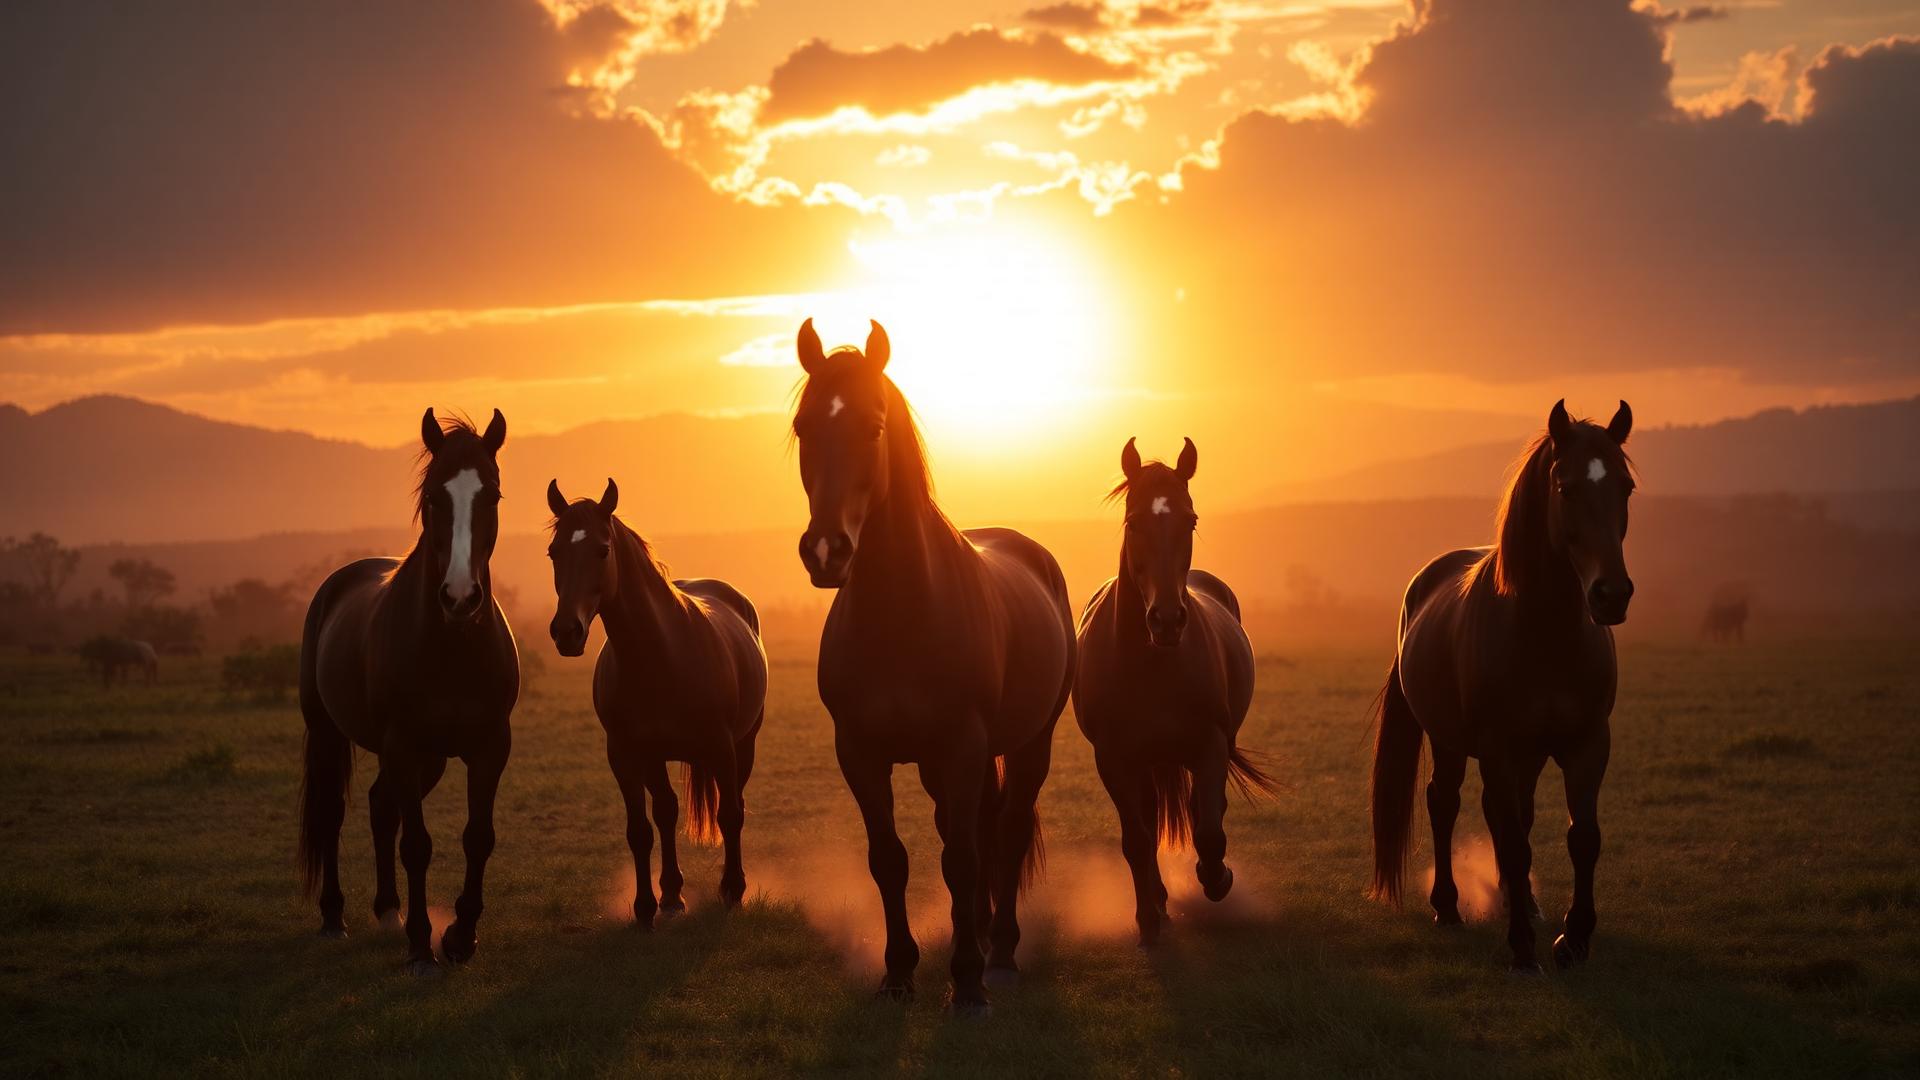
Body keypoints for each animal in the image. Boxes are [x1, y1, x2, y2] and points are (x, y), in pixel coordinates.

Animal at [297, 408, 519, 975]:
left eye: (493, 496)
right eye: (435, 497)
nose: (460, 597)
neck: (452, 645)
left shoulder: (489, 747)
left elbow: (478, 837)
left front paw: (461, 937)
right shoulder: (403, 744)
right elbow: (417, 844)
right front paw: (422, 947)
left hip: (429, 760)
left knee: (382, 805)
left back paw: (387, 911)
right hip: (330, 734)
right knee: (334, 814)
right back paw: (335, 917)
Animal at [544, 477, 769, 926]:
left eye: (603, 549)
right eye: (554, 551)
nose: (566, 632)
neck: (662, 655)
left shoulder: (722, 748)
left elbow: (729, 815)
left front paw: (732, 891)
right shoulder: (627, 754)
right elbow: (641, 829)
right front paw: (647, 906)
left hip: (744, 745)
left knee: (734, 806)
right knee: (666, 811)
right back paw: (671, 894)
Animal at [790, 318, 1076, 1014]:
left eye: (872, 427)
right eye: (805, 427)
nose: (826, 551)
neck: (902, 614)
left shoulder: (963, 747)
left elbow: (964, 861)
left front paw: (968, 983)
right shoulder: (860, 753)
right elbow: (890, 859)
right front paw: (898, 973)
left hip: (1029, 743)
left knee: (1006, 832)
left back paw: (1000, 954)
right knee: (971, 828)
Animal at [1072, 438, 1276, 946]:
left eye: (1191, 520)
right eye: (1133, 521)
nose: (1166, 619)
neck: (1152, 663)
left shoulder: (1209, 745)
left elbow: (1208, 828)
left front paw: (1217, 879)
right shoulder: (1114, 758)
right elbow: (1137, 838)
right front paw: (1147, 920)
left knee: (1201, 810)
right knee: (1149, 821)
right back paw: (1160, 901)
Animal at [1370, 399, 1634, 973]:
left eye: (1625, 486)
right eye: (1565, 487)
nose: (1611, 594)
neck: (1545, 636)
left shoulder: (1588, 745)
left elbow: (1582, 837)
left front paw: (1573, 938)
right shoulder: (1497, 748)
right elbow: (1512, 843)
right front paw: (1522, 949)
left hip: (1526, 758)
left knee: (1514, 816)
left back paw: (1524, 902)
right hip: (1451, 743)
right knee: (1445, 804)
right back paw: (1448, 907)